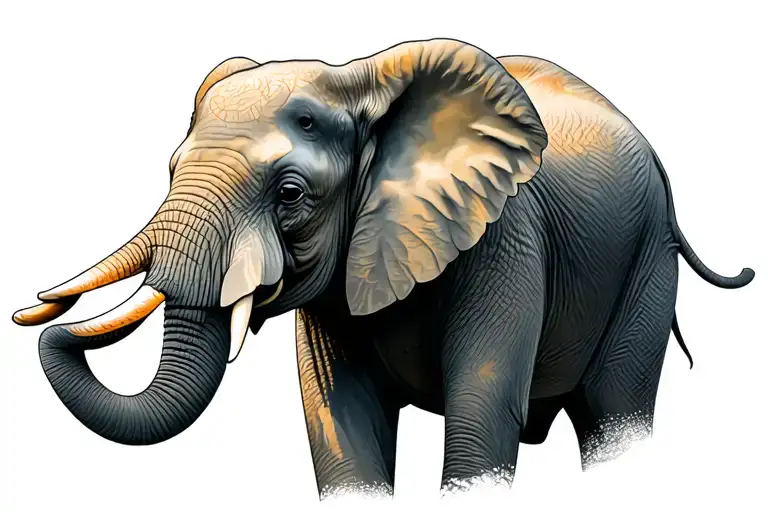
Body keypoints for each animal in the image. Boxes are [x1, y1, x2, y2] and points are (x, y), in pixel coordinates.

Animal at [12, 38, 754, 499]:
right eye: (169, 171)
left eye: (290, 194)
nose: (43, 319)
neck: (360, 85)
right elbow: (341, 416)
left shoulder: (507, 238)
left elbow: (481, 407)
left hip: (648, 260)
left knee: (614, 416)